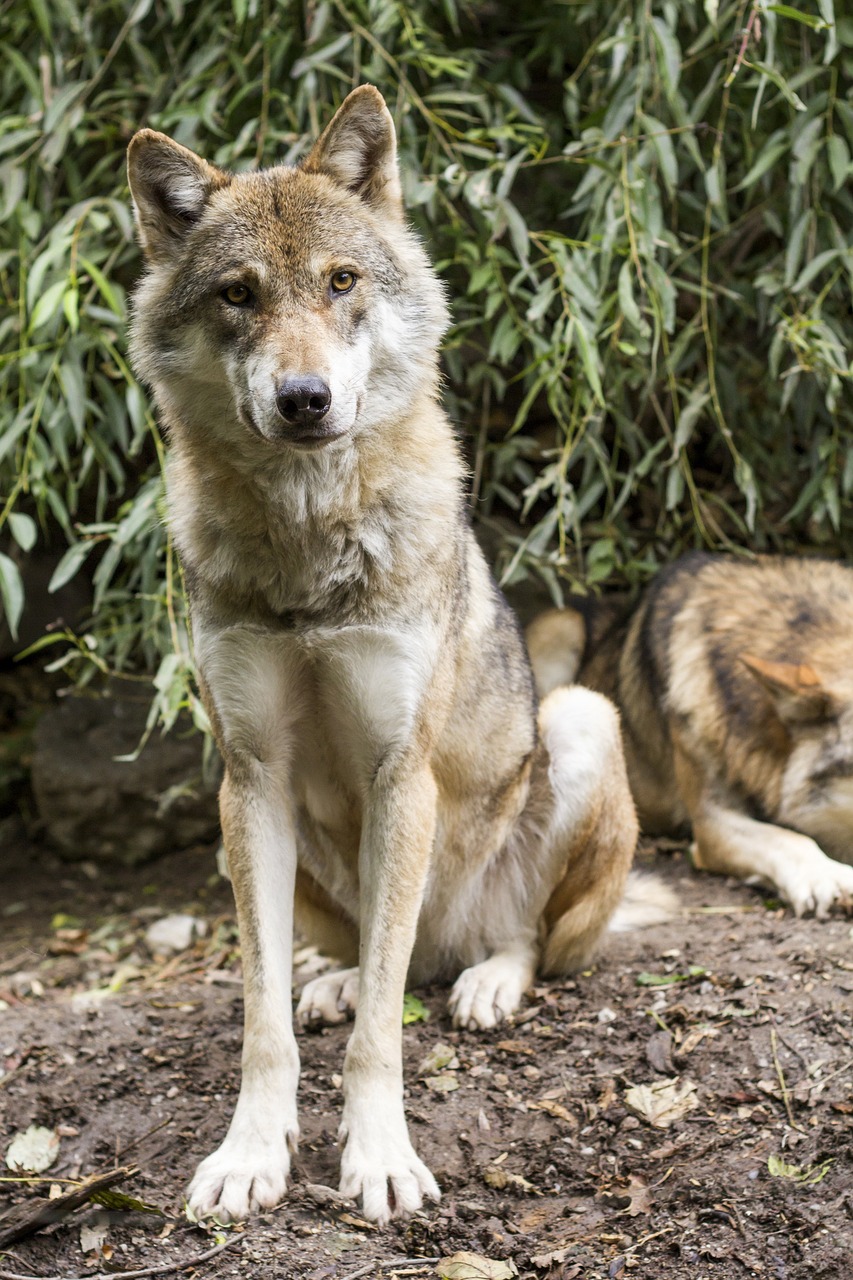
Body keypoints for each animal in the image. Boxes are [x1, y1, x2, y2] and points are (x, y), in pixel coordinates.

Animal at [126, 85, 637, 1223]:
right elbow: (262, 1017)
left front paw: (379, 1159)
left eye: (341, 282)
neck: (311, 548)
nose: (304, 397)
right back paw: (345, 980)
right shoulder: (251, 778)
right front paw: (250, 1155)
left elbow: (378, 1047)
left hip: (578, 720)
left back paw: (483, 982)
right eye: (238, 295)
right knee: (378, 961)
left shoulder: (402, 773)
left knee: (502, 943)